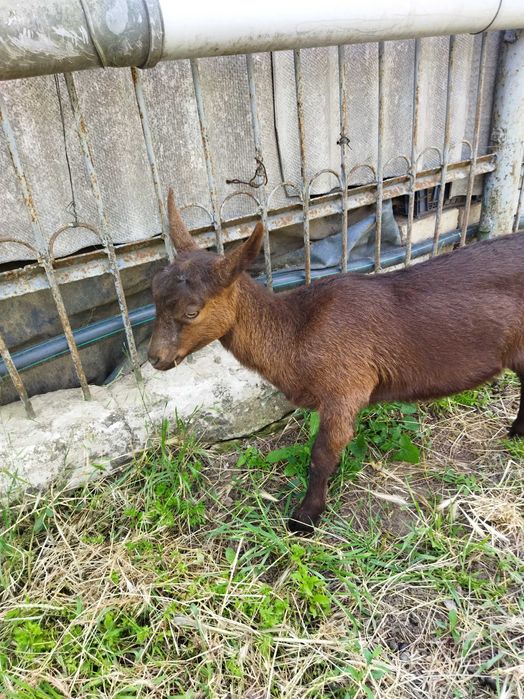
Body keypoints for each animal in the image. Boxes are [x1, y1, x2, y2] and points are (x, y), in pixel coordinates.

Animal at [149, 189, 524, 533]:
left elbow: (322, 456)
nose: (155, 358)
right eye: (155, 298)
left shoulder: (345, 388)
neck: (296, 330)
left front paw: (305, 518)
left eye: (192, 312)